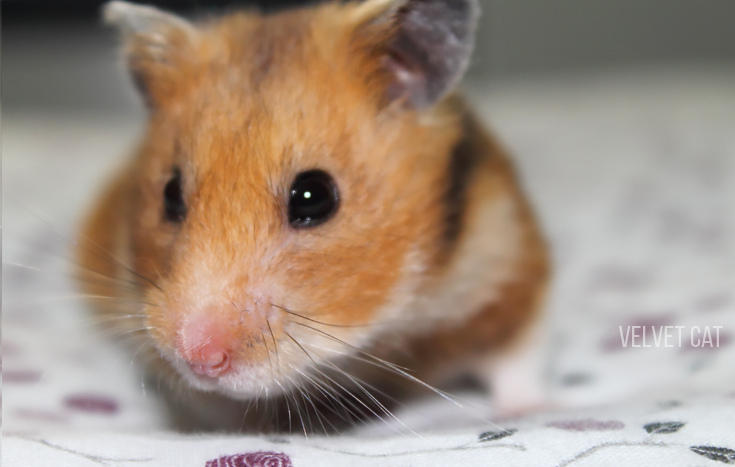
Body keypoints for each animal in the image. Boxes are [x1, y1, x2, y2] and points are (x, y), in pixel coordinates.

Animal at [78, 0, 550, 432]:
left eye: (313, 196)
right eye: (170, 194)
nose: (200, 361)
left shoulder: (507, 261)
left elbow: (514, 357)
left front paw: (531, 412)